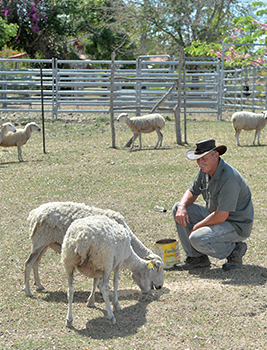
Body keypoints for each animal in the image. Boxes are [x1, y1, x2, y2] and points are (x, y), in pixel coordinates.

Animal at [24, 201, 163, 296]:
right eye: (157, 269)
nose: (160, 286)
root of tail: (33, 214)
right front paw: (101, 288)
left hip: (44, 244)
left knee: (36, 263)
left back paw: (39, 285)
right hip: (39, 242)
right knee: (28, 263)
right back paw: (28, 291)